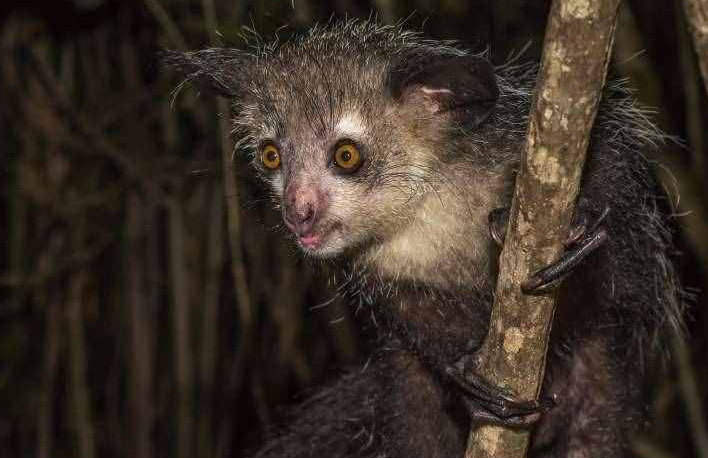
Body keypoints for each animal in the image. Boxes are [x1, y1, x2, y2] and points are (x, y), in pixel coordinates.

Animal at [166, 20, 685, 458]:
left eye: (346, 155)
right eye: (271, 155)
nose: (297, 214)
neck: (424, 213)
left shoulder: (536, 147)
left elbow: (614, 202)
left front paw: (580, 225)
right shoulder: (383, 277)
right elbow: (416, 321)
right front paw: (464, 374)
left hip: (601, 383)